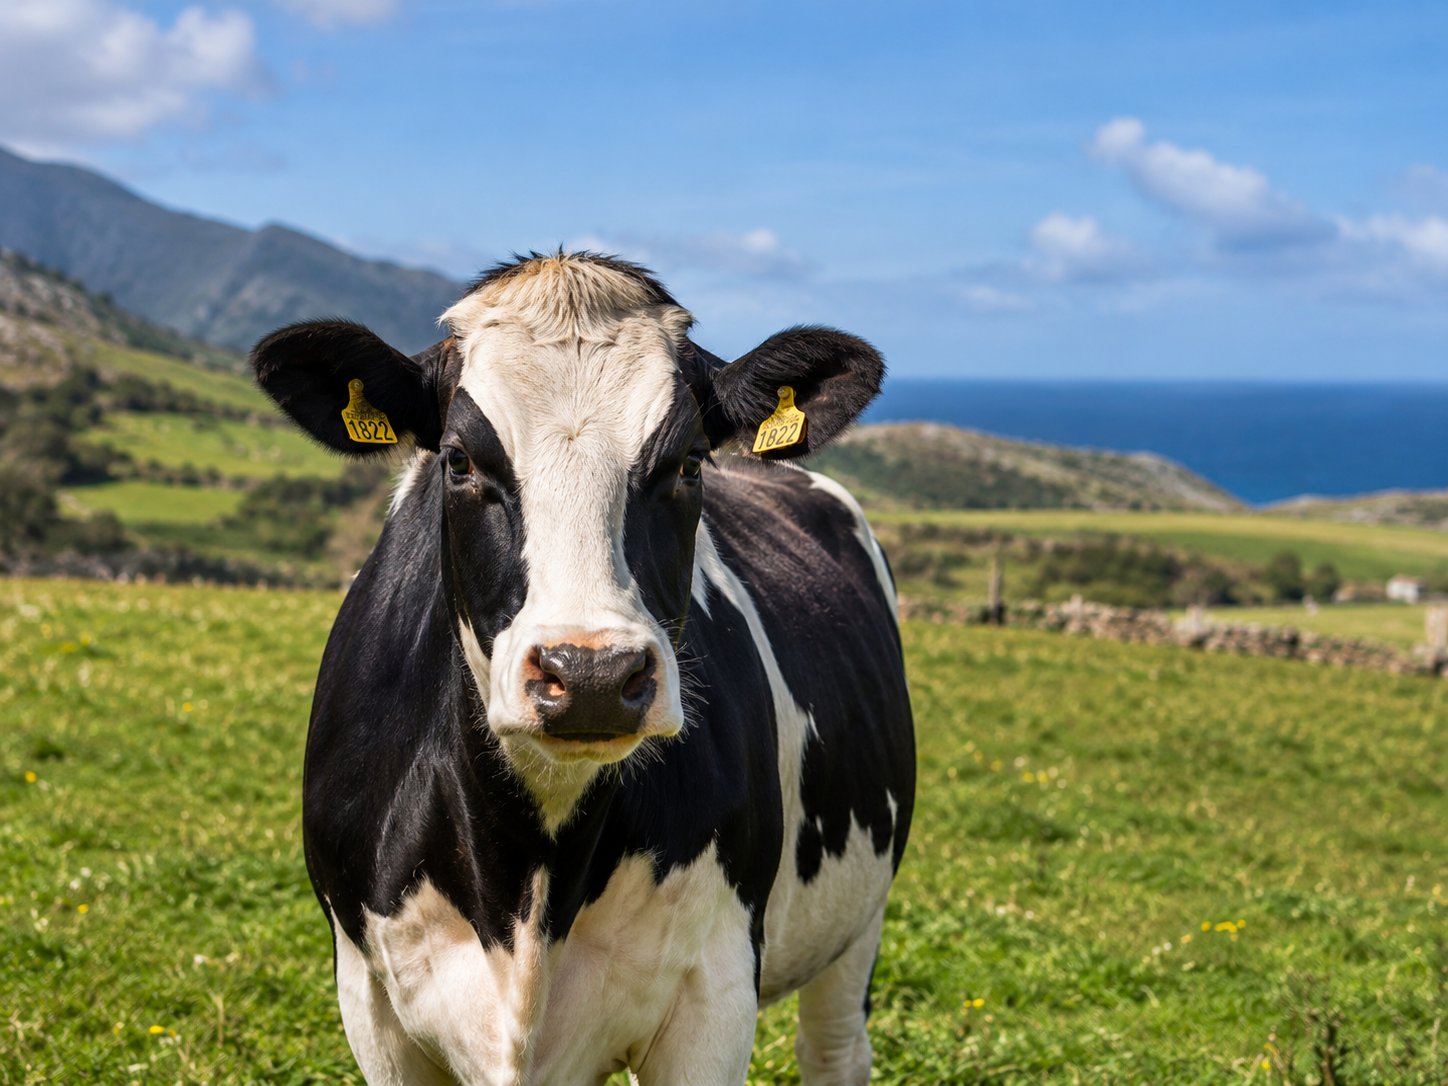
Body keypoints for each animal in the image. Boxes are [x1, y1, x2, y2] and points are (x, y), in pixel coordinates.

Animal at [251, 252, 915, 1086]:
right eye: (459, 461)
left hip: (858, 920)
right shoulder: (370, 1000)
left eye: (689, 461)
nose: (591, 675)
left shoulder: (715, 992)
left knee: (833, 1049)